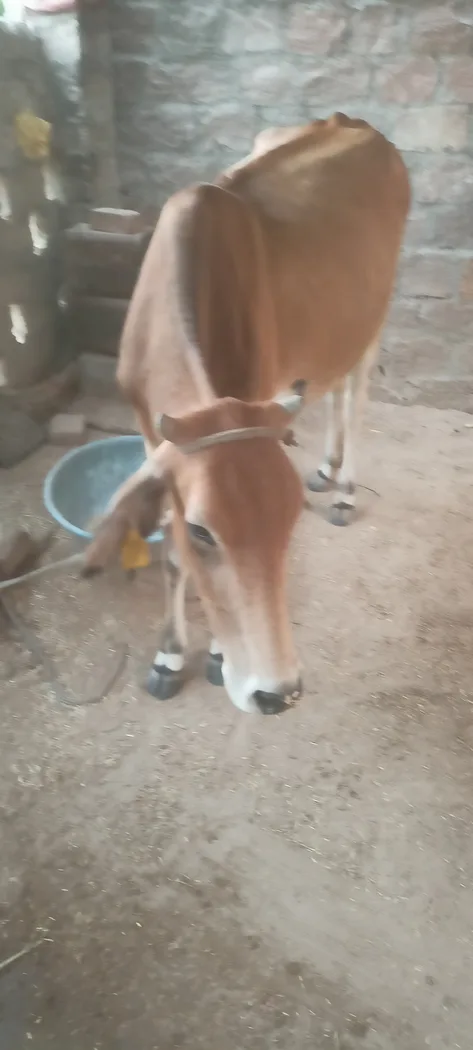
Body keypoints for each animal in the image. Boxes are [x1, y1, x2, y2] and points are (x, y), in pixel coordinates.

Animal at [83, 113, 410, 715]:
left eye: (289, 518)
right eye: (203, 530)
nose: (279, 693)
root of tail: (354, 123)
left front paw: (213, 657)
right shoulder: (150, 432)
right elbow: (171, 553)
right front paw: (168, 658)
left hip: (373, 316)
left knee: (356, 396)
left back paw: (346, 491)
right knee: (333, 387)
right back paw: (326, 468)